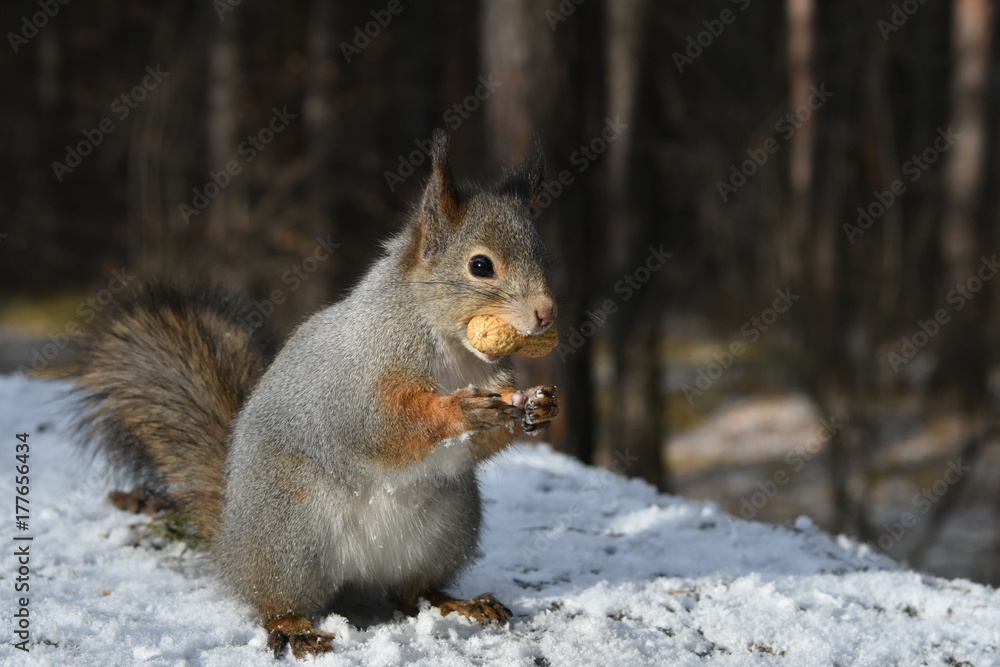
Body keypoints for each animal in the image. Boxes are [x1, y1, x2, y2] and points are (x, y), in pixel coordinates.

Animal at [67, 132, 559, 659]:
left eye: (543, 255)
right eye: (481, 266)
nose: (546, 313)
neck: (451, 345)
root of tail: (232, 542)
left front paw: (539, 407)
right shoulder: (357, 382)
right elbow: (382, 426)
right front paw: (459, 410)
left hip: (447, 528)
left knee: (412, 594)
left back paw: (459, 603)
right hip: (290, 533)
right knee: (275, 599)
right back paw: (293, 627)